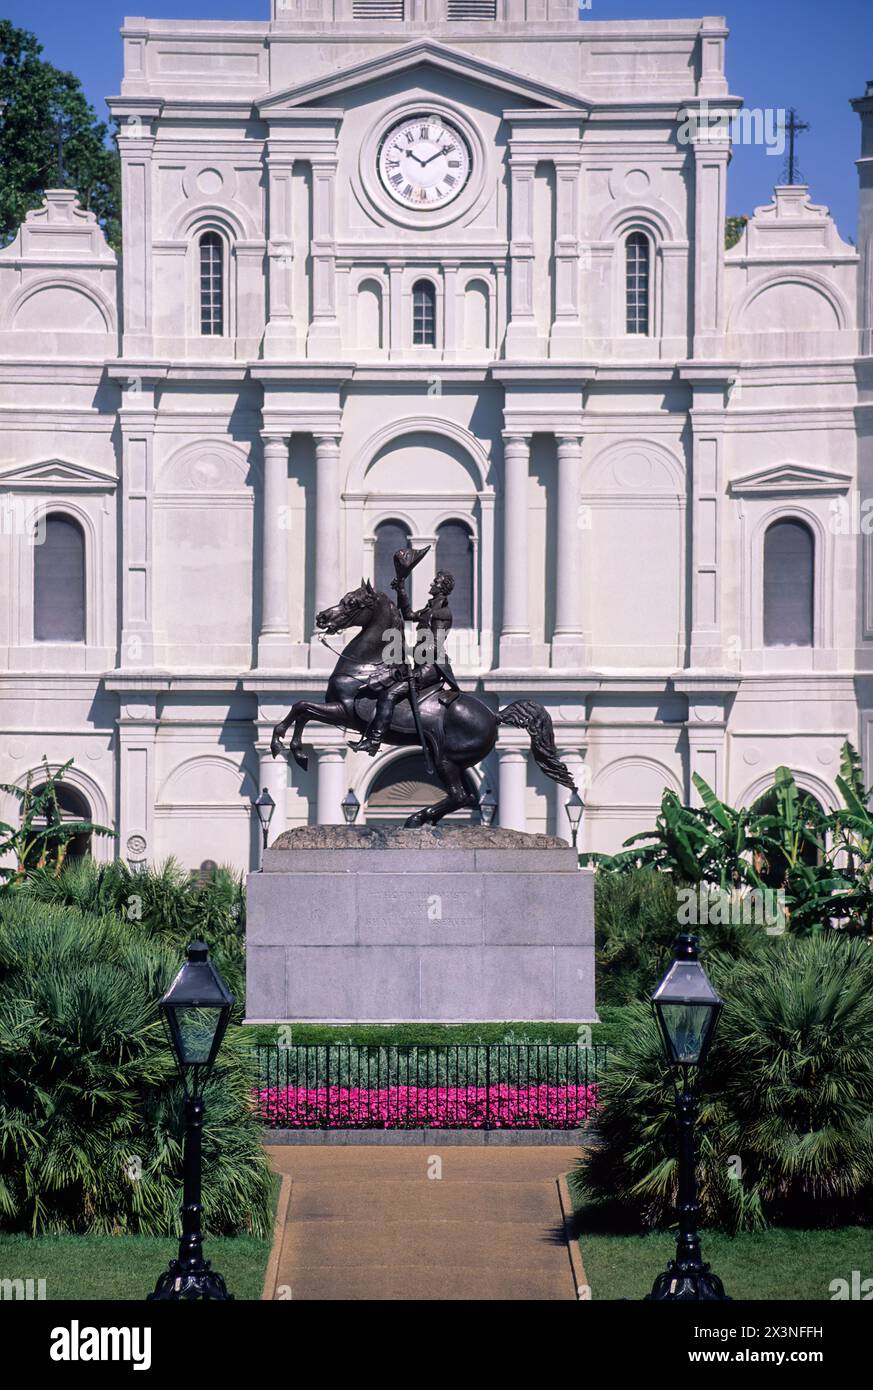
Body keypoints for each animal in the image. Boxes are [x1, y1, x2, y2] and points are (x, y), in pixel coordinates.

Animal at [269, 578, 575, 822]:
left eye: (352, 602)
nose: (322, 617)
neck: (365, 666)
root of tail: (494, 715)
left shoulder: (344, 712)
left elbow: (301, 708)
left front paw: (287, 746)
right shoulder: (337, 716)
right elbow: (301, 711)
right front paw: (292, 748)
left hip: (445, 759)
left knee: (461, 796)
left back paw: (418, 817)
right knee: (463, 797)